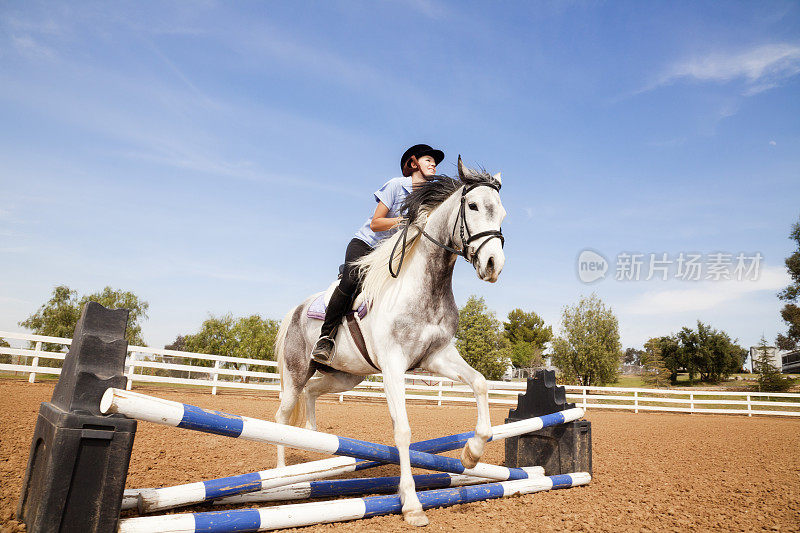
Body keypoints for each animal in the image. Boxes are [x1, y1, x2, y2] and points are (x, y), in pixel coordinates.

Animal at [272, 157, 504, 524]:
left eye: (503, 213)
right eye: (473, 206)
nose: (494, 265)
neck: (426, 284)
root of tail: (295, 310)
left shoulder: (437, 356)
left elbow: (480, 383)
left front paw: (471, 454)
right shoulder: (394, 365)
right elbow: (403, 431)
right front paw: (411, 505)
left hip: (345, 376)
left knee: (312, 393)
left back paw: (316, 451)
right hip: (297, 372)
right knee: (282, 416)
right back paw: (281, 475)